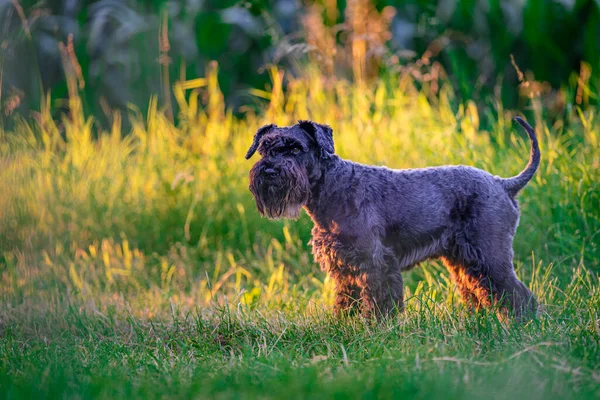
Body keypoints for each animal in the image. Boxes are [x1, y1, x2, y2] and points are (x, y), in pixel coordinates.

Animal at [244, 117, 540, 320]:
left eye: (296, 149)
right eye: (264, 149)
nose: (269, 170)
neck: (333, 187)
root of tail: (503, 183)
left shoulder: (376, 262)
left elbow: (379, 301)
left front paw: (377, 328)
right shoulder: (345, 266)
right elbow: (347, 300)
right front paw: (344, 324)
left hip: (491, 255)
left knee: (519, 295)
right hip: (465, 261)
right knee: (483, 292)